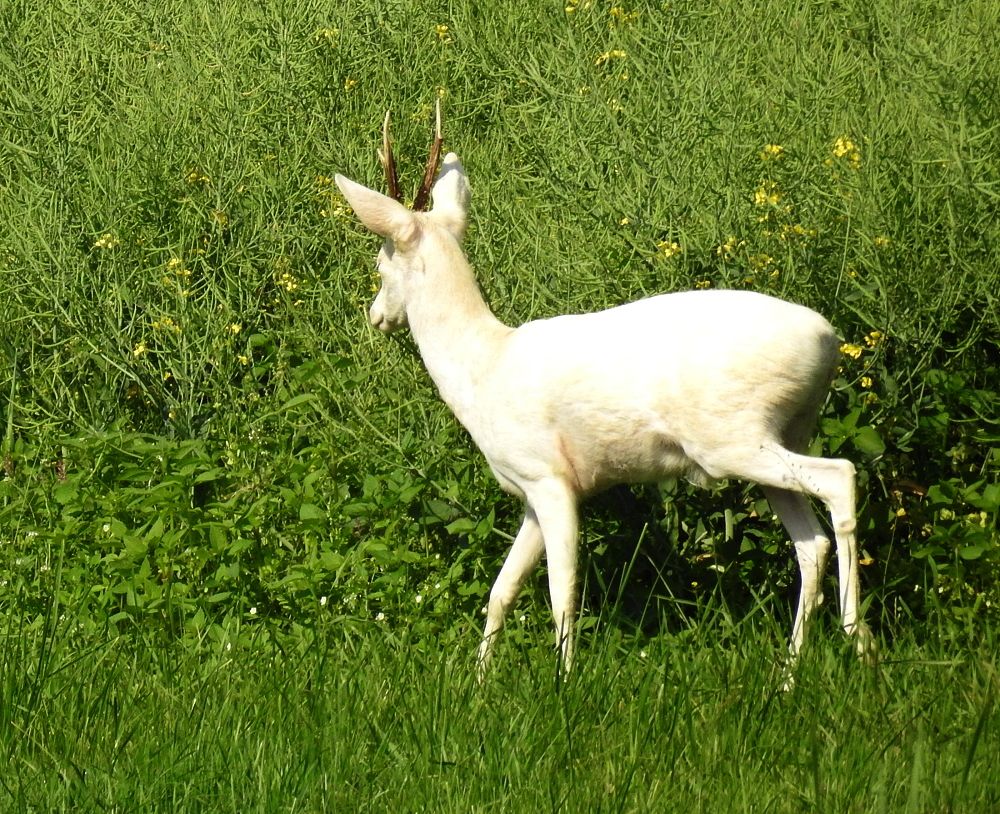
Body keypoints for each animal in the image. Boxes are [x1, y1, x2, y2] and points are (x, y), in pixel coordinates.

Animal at [336, 108, 876, 684]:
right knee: (810, 542)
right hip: (780, 434)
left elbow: (561, 593)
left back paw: (858, 641)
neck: (484, 367)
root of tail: (828, 340)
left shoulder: (551, 479)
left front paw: (565, 681)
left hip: (732, 437)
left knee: (840, 477)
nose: (377, 315)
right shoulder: (532, 492)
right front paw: (479, 682)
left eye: (380, 263)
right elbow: (501, 591)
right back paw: (790, 675)